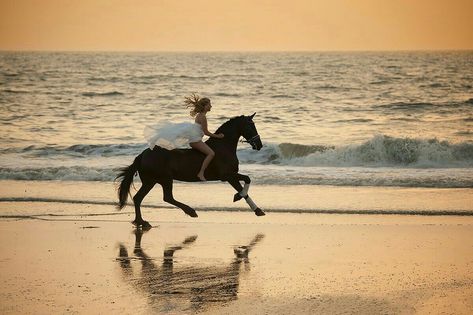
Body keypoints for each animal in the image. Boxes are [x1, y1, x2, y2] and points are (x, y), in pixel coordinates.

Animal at [116, 113, 266, 227]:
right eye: (251, 126)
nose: (259, 145)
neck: (224, 147)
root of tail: (142, 155)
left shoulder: (230, 177)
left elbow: (243, 189)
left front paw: (257, 210)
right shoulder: (227, 175)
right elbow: (247, 179)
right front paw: (238, 197)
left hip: (150, 181)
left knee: (139, 198)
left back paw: (141, 221)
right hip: (164, 179)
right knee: (167, 197)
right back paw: (191, 211)